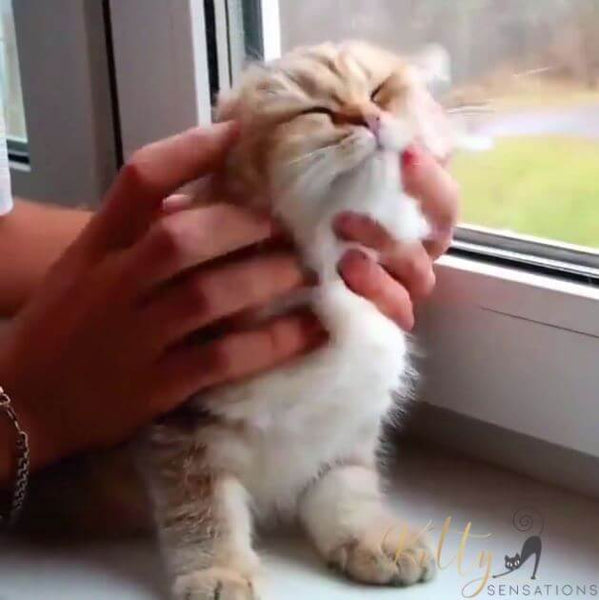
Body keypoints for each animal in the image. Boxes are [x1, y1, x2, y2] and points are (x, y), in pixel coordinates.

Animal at [138, 42, 452, 600]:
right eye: (318, 111)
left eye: (378, 92)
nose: (371, 119)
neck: (331, 275)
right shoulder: (183, 422)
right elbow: (202, 511)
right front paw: (221, 572)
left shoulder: (344, 428)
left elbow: (346, 489)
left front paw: (371, 537)